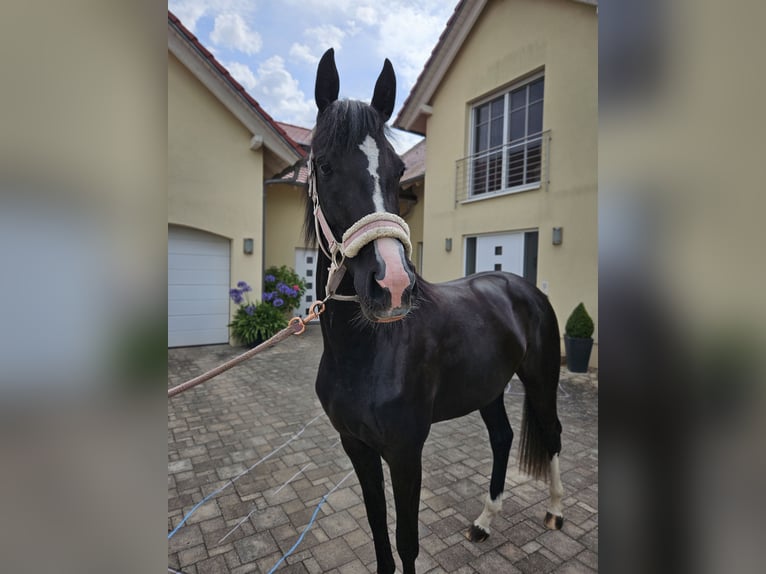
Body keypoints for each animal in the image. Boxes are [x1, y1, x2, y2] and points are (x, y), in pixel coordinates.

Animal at [306, 49, 564, 574]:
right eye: (323, 165)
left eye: (398, 169)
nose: (392, 285)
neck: (365, 353)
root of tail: (524, 288)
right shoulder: (357, 447)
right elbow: (380, 536)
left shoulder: (406, 453)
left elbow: (406, 542)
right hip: (489, 388)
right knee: (503, 437)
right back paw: (484, 521)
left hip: (542, 380)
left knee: (552, 433)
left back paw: (554, 511)